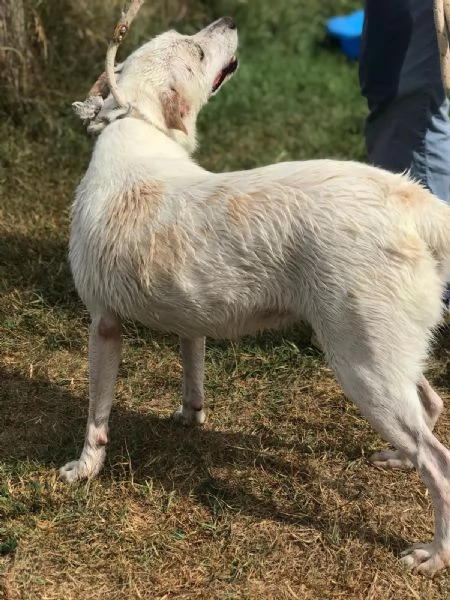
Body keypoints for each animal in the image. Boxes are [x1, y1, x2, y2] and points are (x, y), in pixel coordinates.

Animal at [61, 17, 450, 572]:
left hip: (363, 370)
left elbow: (97, 414)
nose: (227, 21)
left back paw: (434, 554)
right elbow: (193, 376)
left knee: (438, 464)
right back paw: (399, 457)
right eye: (197, 49)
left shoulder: (103, 325)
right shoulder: (191, 321)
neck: (138, 130)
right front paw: (190, 417)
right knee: (430, 410)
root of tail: (414, 201)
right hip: (386, 353)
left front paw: (85, 468)